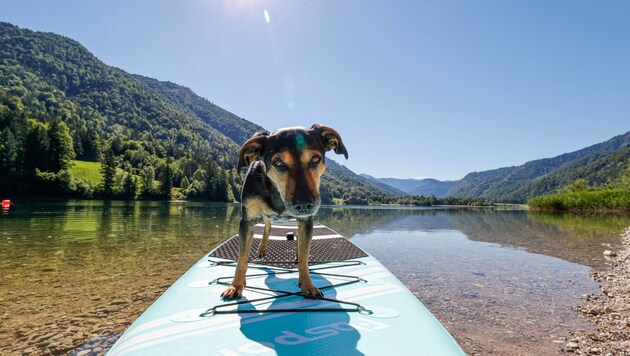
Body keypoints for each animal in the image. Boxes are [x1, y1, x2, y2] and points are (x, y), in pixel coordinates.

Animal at [221, 124, 350, 298]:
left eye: (315, 159)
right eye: (278, 162)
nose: (304, 204)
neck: (277, 194)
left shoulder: (306, 221)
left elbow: (304, 258)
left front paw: (308, 284)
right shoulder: (246, 222)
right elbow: (241, 259)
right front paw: (235, 286)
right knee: (268, 225)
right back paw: (262, 248)